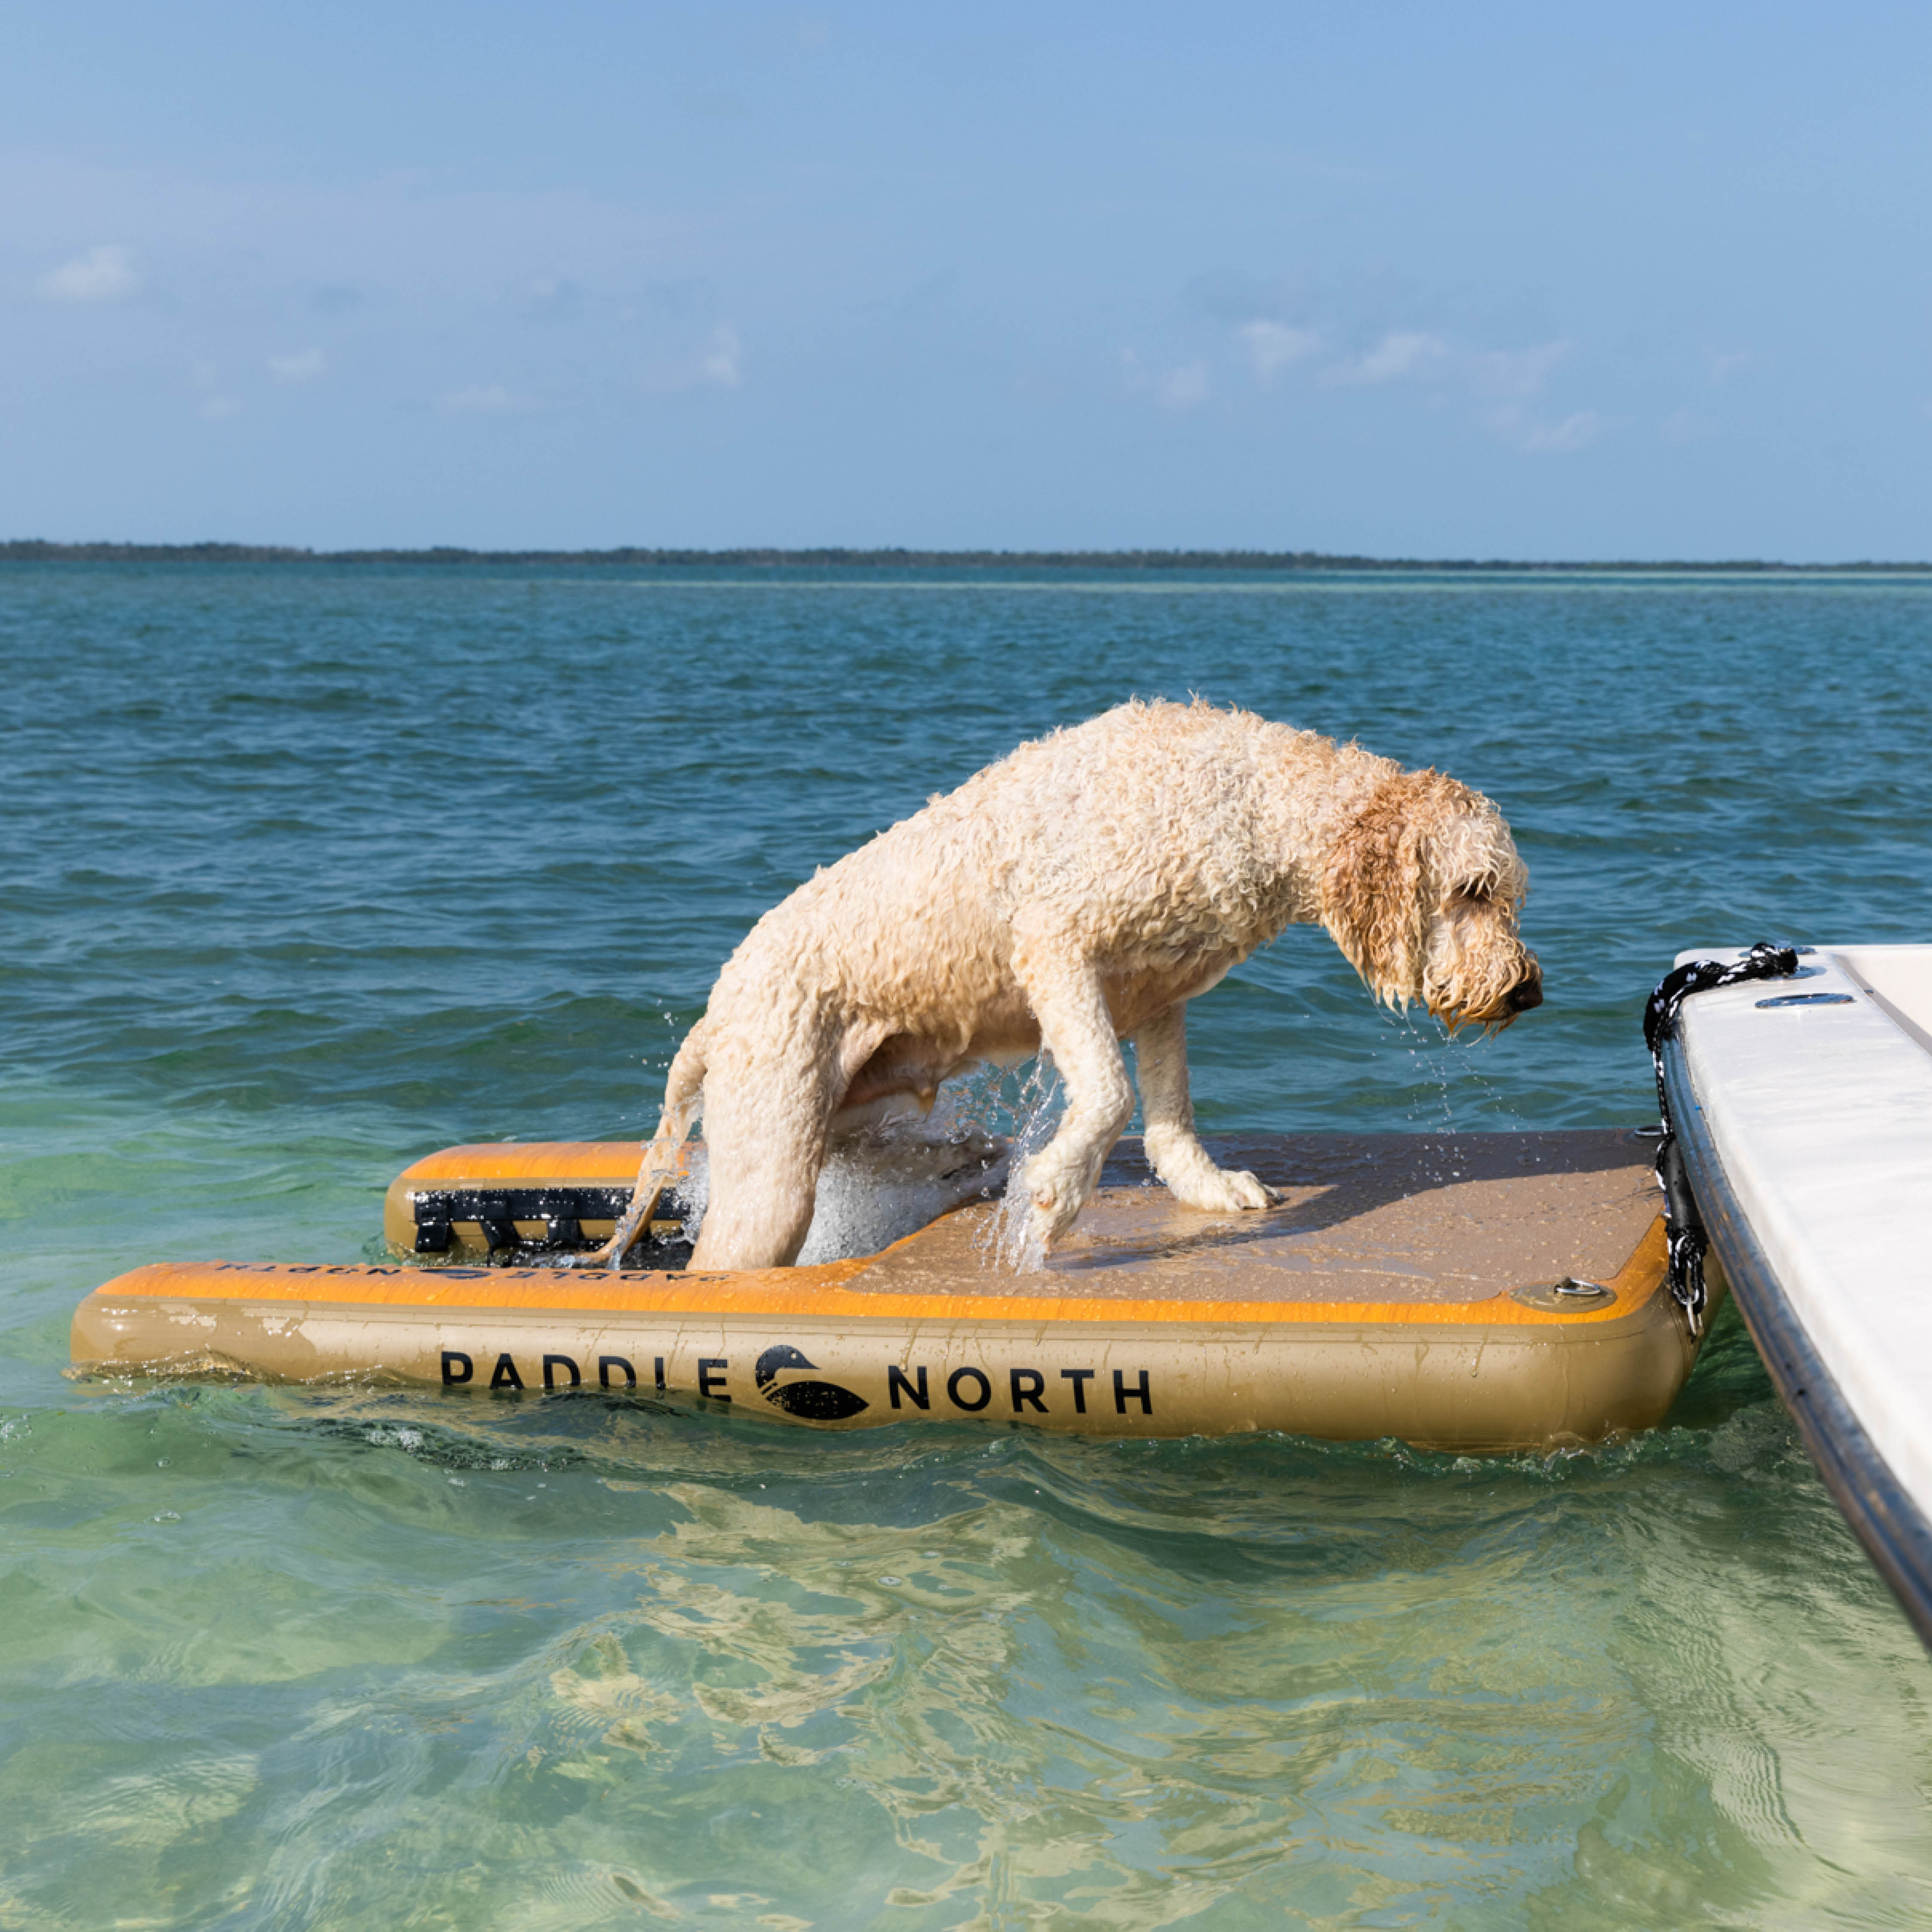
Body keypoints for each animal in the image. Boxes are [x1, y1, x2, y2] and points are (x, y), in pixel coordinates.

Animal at [587, 703, 1538, 1275]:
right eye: (1472, 890)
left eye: (1510, 897)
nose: (1526, 995)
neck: (1245, 801)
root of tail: (714, 1015)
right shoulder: (1058, 948)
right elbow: (1110, 1095)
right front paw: (1050, 1203)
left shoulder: (1159, 994)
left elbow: (1169, 1118)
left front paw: (1210, 1188)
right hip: (773, 1165)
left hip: (856, 1110)